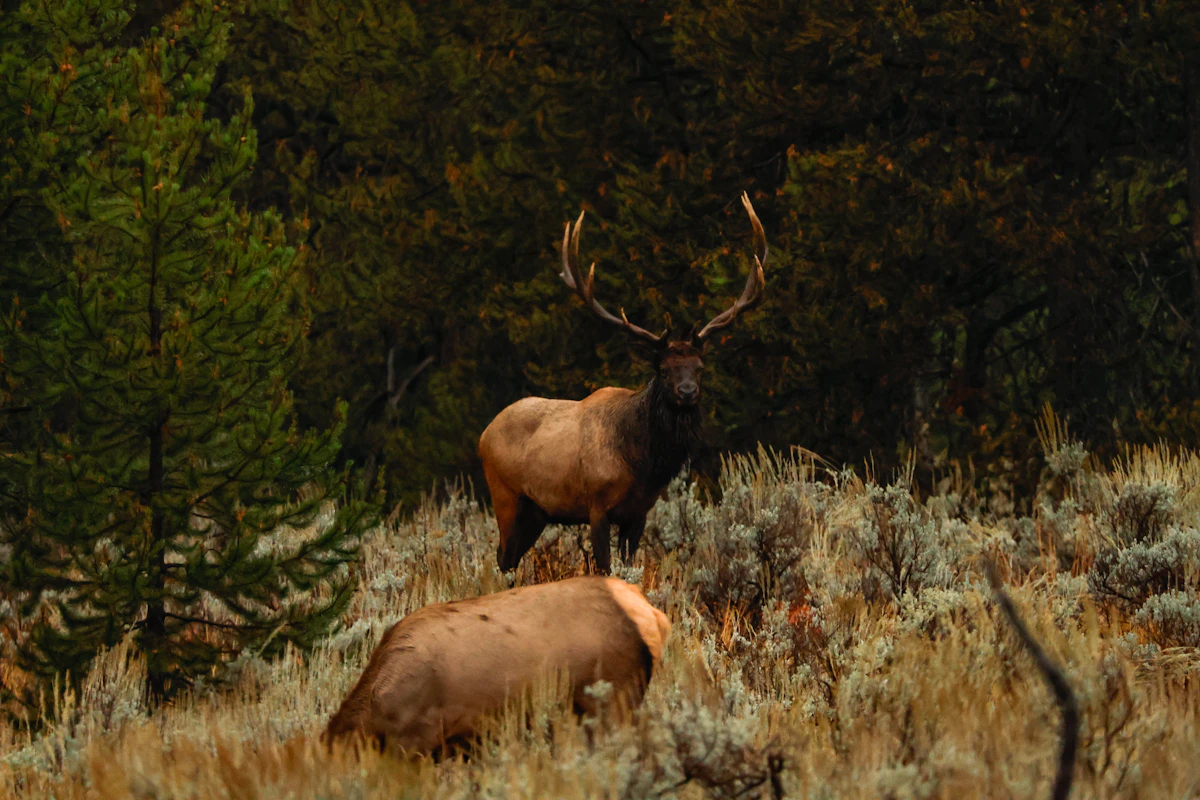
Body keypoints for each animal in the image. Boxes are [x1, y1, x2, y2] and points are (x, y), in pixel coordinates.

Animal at [478, 192, 768, 575]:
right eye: (662, 368)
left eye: (700, 367)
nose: (687, 392)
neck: (641, 464)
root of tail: (483, 435)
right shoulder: (597, 505)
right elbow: (605, 567)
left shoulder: (639, 513)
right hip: (505, 497)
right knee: (502, 560)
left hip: (536, 512)